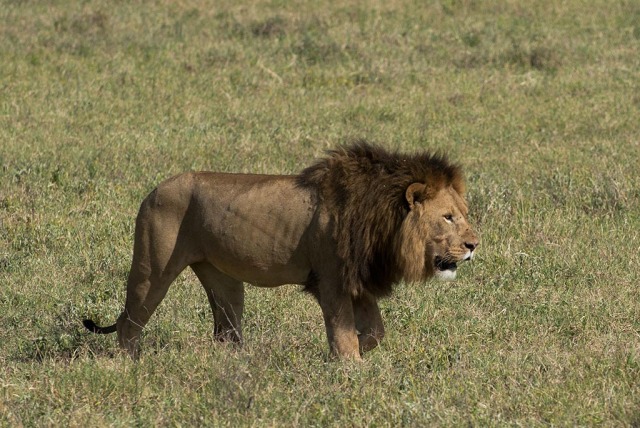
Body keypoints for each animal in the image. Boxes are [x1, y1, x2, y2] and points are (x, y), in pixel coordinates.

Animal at [83, 141, 479, 360]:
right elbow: (343, 333)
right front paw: (347, 369)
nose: (474, 245)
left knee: (225, 332)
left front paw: (350, 354)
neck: (383, 221)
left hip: (222, 280)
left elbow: (373, 333)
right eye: (447, 217)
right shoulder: (331, 280)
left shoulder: (357, 281)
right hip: (152, 269)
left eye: (464, 213)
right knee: (130, 323)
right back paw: (131, 367)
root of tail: (152, 191)